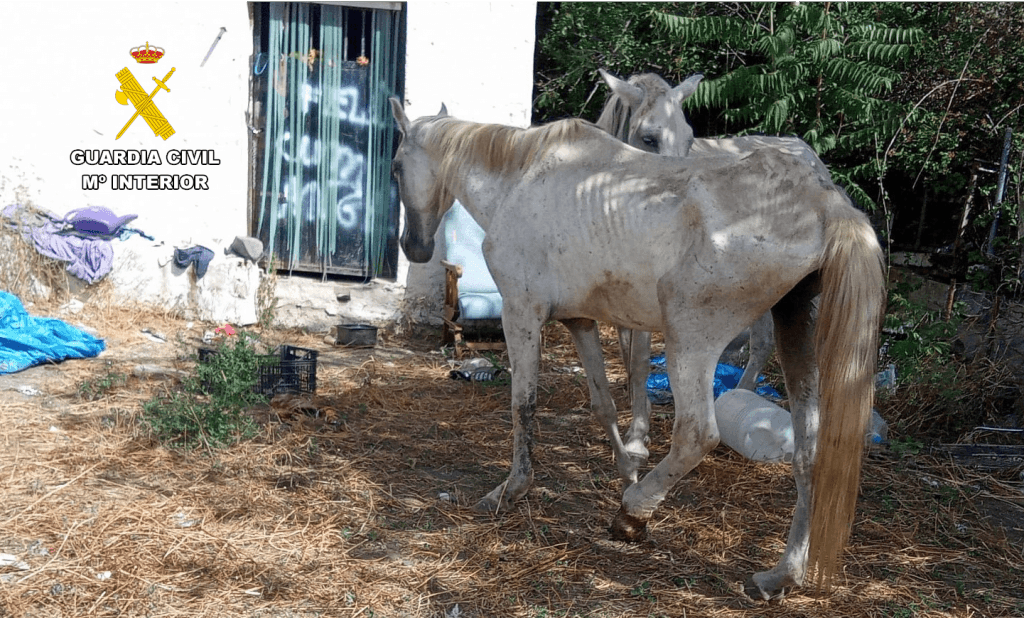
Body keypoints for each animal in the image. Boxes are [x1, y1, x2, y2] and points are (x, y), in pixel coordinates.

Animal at [388, 98, 885, 598]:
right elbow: (603, 404)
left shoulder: (521, 312)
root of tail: (824, 205)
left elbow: (523, 404)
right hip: (797, 339)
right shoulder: (580, 320)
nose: (413, 247)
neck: (523, 175)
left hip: (690, 343)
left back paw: (633, 514)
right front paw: (627, 465)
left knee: (697, 435)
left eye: (395, 167)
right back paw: (781, 574)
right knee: (809, 453)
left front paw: (512, 490)